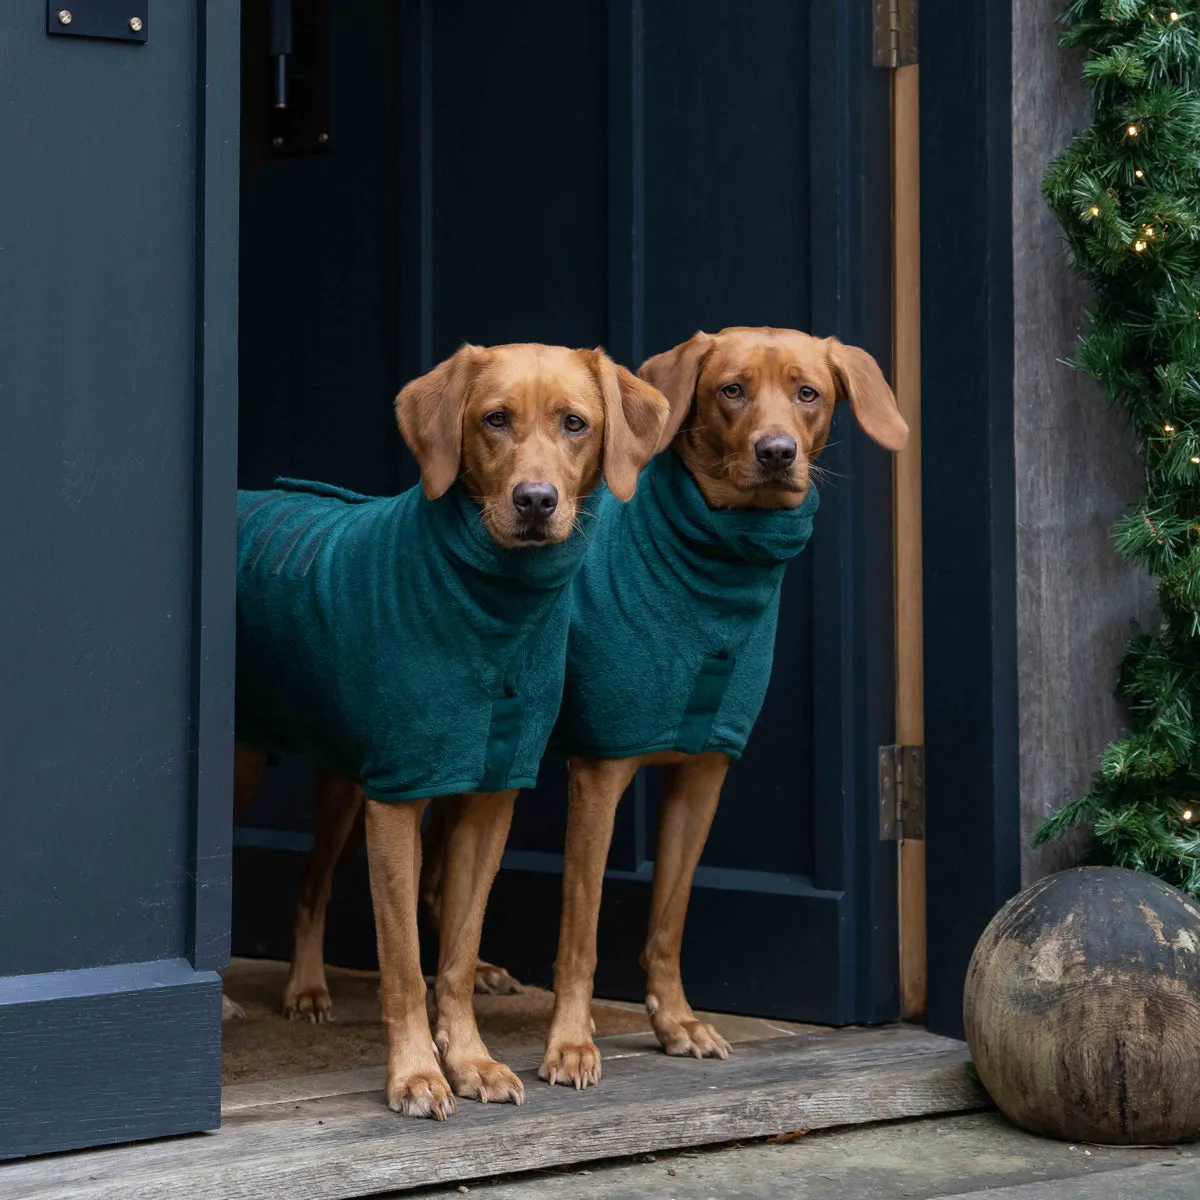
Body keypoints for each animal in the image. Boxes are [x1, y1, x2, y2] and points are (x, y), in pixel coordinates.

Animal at [229, 338, 672, 1113]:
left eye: (576, 423)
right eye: (495, 419)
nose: (535, 501)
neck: (498, 611)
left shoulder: (490, 798)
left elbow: (457, 955)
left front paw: (469, 1060)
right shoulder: (395, 798)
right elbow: (404, 962)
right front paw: (415, 1073)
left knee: (315, 881)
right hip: (263, 772)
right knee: (299, 882)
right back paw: (281, 993)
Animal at [540, 326, 902, 1089]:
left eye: (808, 393)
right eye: (731, 390)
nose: (777, 452)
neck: (716, 575)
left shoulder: (703, 775)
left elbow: (669, 919)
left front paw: (675, 1022)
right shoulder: (599, 775)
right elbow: (581, 934)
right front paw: (570, 1042)